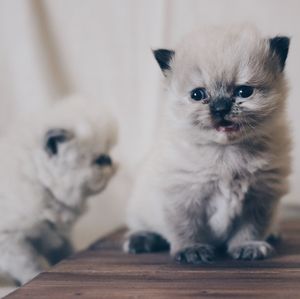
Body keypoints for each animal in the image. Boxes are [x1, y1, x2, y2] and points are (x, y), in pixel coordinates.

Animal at [0, 96, 118, 286]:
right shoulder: (11, 241)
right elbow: (30, 267)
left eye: (107, 154)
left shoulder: (57, 236)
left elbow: (64, 255)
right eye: (99, 160)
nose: (110, 160)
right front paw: (34, 277)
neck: (38, 180)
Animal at [123, 25, 290, 264]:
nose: (220, 108)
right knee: (140, 226)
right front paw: (191, 250)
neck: (226, 153)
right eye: (198, 94)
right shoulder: (181, 197)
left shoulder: (260, 198)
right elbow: (186, 229)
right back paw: (141, 240)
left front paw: (248, 247)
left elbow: (250, 229)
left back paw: (273, 234)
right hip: (139, 207)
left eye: (244, 92)